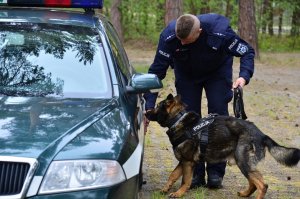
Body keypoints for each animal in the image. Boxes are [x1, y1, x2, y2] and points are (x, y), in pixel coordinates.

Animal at [145, 93, 300, 199]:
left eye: (157, 107)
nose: (146, 112)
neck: (178, 120)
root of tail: (262, 135)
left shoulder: (188, 163)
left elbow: (185, 181)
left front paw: (178, 193)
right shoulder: (183, 162)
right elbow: (172, 175)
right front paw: (165, 189)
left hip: (243, 161)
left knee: (262, 185)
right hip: (243, 163)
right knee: (253, 182)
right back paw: (245, 193)